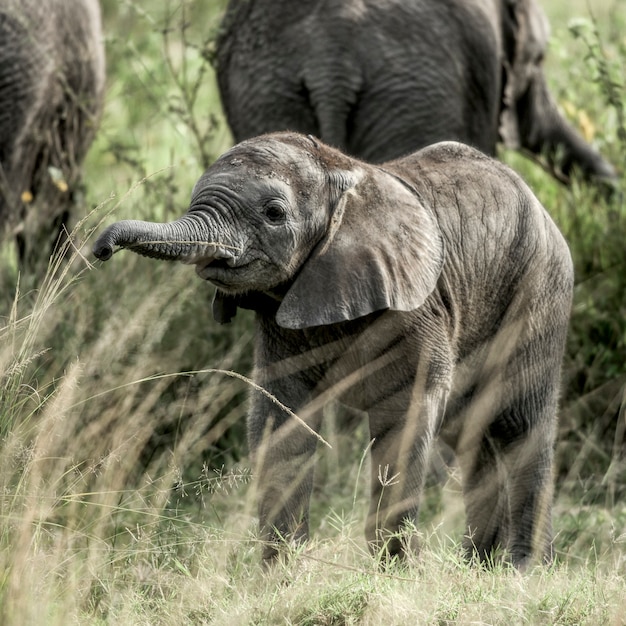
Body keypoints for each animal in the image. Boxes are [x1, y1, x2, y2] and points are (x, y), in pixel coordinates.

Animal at [91, 132, 572, 564]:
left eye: (273, 213)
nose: (100, 248)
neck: (341, 172)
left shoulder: (417, 307)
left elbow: (405, 417)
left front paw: (393, 572)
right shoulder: (282, 321)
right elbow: (280, 419)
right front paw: (280, 573)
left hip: (538, 287)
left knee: (519, 422)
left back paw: (522, 569)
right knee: (471, 433)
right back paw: (476, 567)